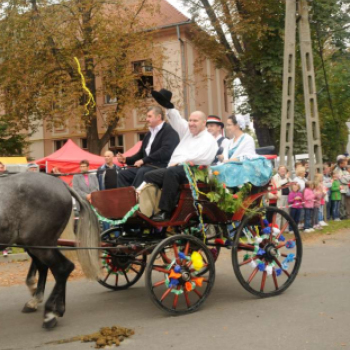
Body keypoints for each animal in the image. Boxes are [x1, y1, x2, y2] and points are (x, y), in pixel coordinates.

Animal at [0, 172, 101, 328]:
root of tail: (60, 183)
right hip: (39, 244)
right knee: (50, 268)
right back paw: (51, 306)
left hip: (39, 243)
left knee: (62, 268)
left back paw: (50, 313)